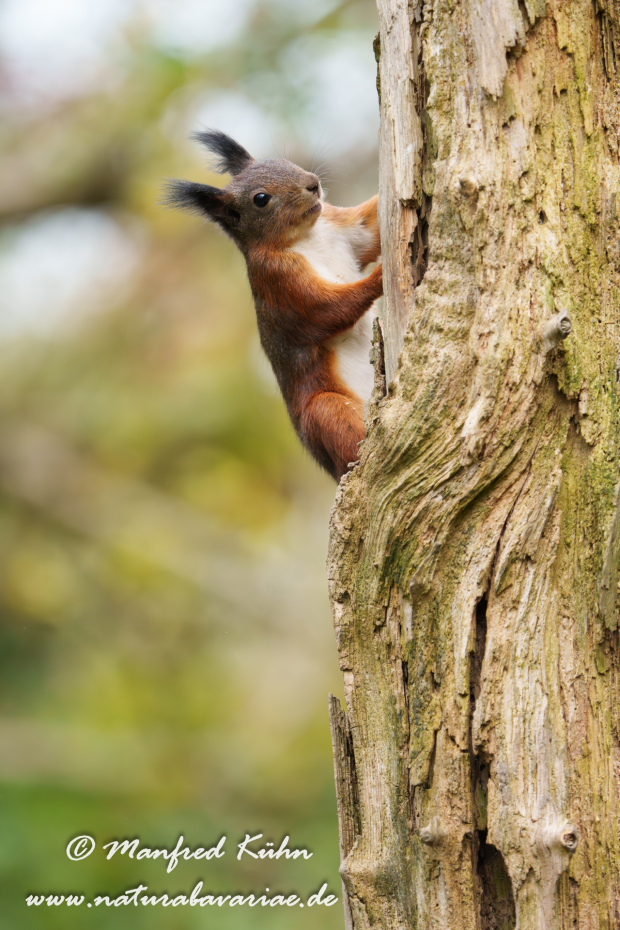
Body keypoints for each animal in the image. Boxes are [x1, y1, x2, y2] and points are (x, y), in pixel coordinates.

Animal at [166, 130, 382, 482]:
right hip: (326, 410)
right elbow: (326, 310)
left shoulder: (341, 226)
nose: (312, 184)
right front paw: (380, 275)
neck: (306, 237)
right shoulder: (279, 282)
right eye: (261, 199)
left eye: (284, 162)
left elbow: (371, 225)